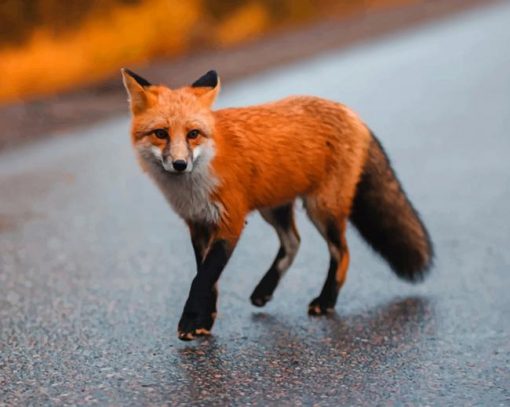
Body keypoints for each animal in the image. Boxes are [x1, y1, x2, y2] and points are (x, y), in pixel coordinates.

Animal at [121, 69, 432, 342]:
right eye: (161, 134)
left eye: (193, 134)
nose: (180, 164)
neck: (196, 182)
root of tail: (350, 112)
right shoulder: (198, 223)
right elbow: (208, 278)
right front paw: (205, 320)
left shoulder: (230, 221)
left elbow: (203, 278)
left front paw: (190, 321)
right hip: (274, 208)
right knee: (293, 242)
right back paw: (265, 289)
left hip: (321, 208)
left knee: (341, 252)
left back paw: (326, 300)